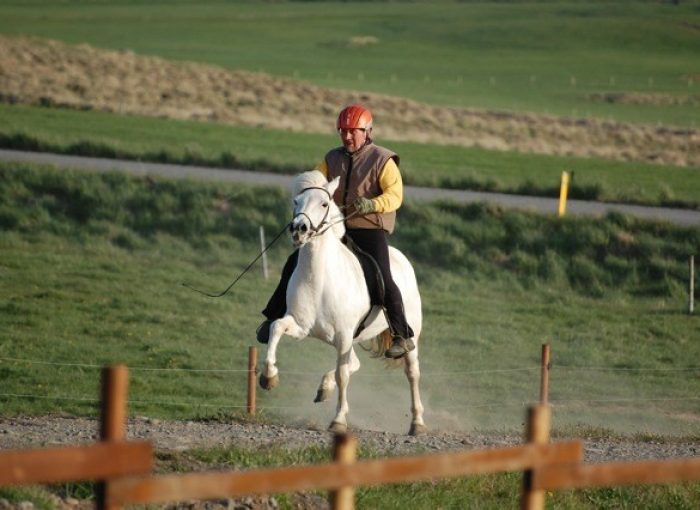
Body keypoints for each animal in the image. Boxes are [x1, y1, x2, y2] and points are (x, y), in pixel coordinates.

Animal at [260, 170, 424, 434]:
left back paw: (417, 423)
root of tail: (402, 259)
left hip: (410, 337)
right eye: (296, 201)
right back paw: (323, 388)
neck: (319, 278)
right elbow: (276, 328)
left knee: (412, 373)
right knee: (353, 363)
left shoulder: (344, 335)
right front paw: (269, 377)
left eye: (324, 203)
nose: (299, 229)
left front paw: (338, 420)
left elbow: (343, 375)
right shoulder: (301, 326)